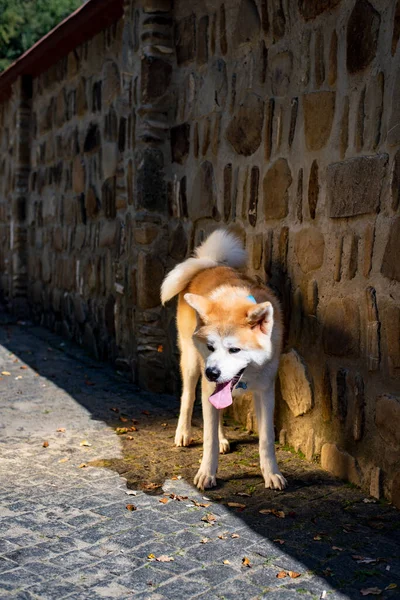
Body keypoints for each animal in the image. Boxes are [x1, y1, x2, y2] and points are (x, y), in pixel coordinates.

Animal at [161, 231, 286, 492]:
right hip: (191, 364)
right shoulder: (208, 383)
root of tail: (211, 264)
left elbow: (266, 439)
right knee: (187, 398)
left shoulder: (265, 392)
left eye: (234, 349)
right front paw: (206, 473)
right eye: (210, 347)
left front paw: (271, 473)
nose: (211, 373)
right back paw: (183, 432)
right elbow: (207, 437)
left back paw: (221, 439)